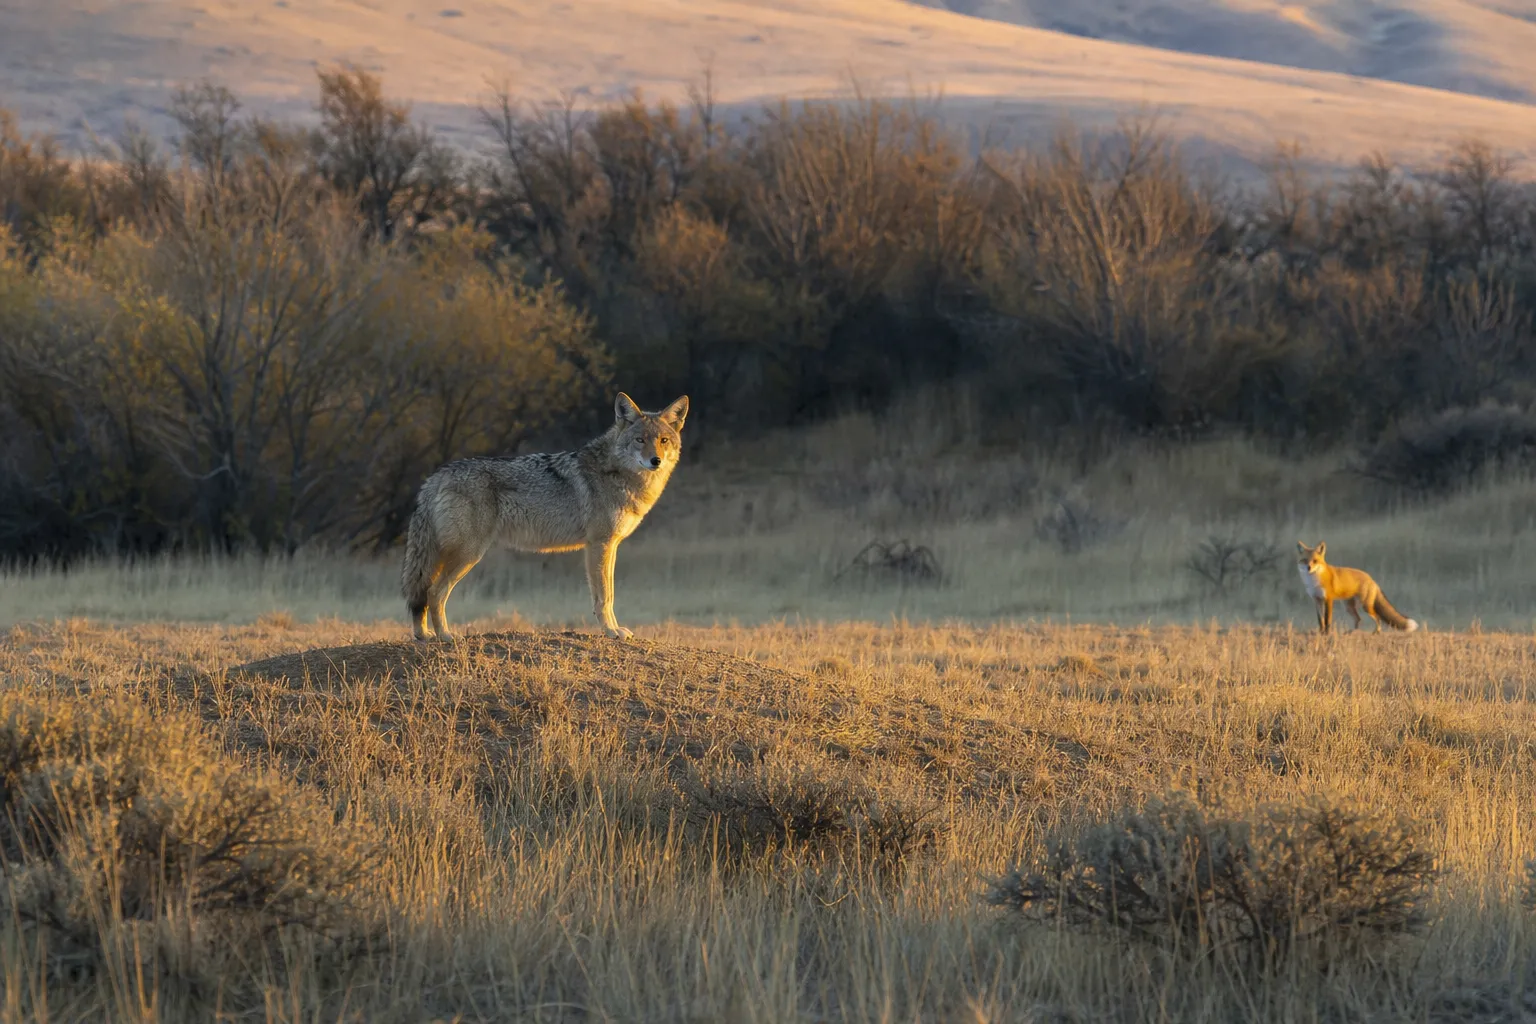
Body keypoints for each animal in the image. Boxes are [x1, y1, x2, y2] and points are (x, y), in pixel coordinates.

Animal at [401, 392, 689, 642]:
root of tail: (436, 476)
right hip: (468, 555)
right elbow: (605, 596)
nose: (655, 461)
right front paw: (611, 632)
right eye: (640, 440)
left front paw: (614, 629)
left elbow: (608, 594)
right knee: (434, 592)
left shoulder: (610, 545)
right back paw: (445, 636)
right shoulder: (600, 544)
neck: (618, 474)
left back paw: (424, 635)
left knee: (423, 594)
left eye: (663, 440)